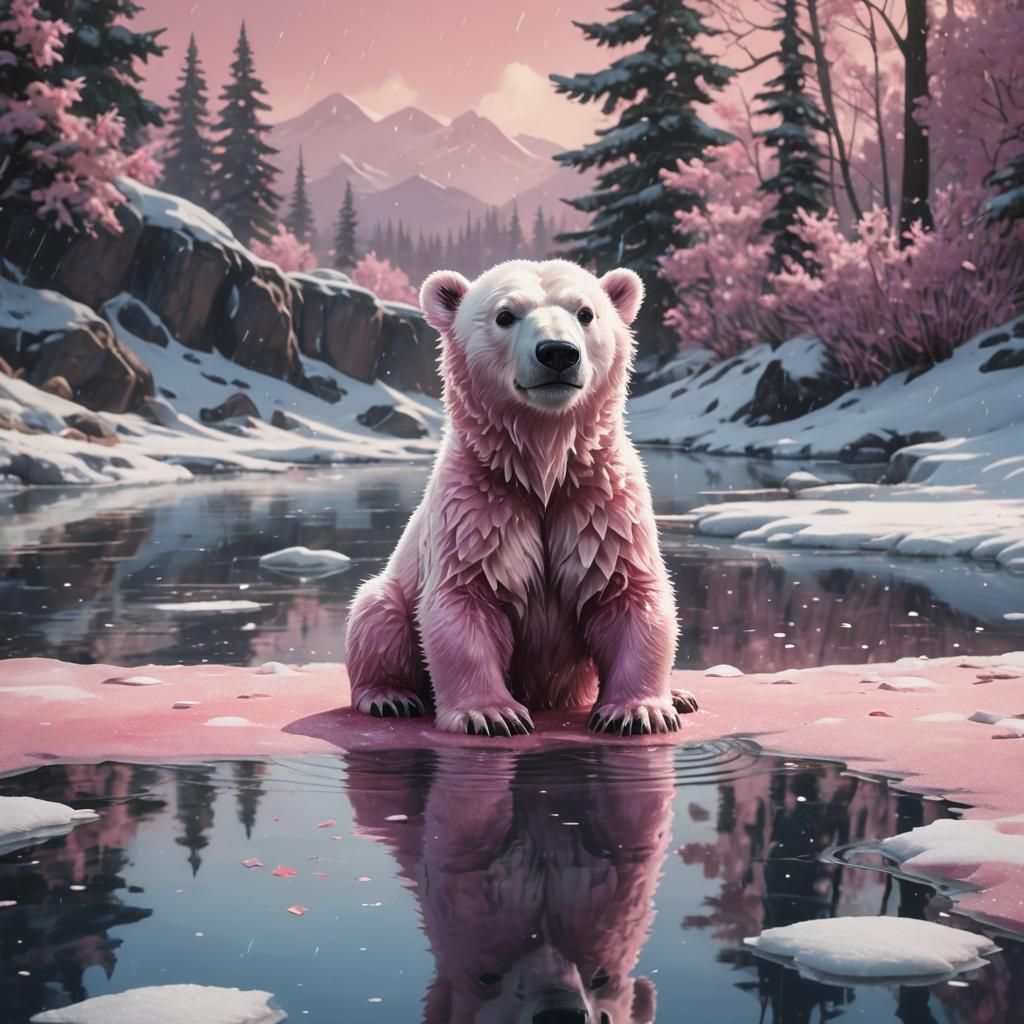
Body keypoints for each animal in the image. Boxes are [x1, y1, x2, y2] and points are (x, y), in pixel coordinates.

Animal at [345, 259, 697, 735]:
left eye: (585, 312)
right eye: (505, 315)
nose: (558, 353)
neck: (543, 465)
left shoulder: (600, 503)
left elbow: (630, 594)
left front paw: (638, 711)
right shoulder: (478, 505)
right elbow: (463, 601)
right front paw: (493, 714)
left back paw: (680, 695)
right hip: (395, 591)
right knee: (376, 614)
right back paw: (388, 697)